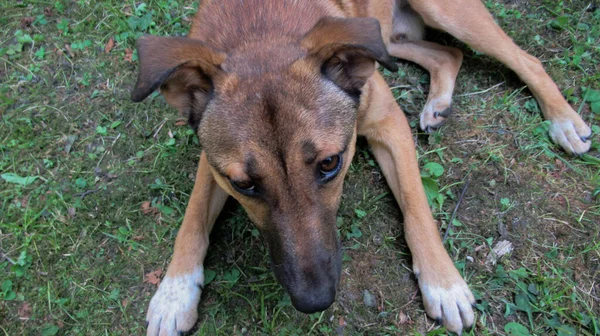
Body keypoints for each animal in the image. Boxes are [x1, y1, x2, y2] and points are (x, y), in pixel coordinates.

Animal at [130, 0, 592, 334]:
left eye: (330, 163)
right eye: (243, 185)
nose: (314, 301)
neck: (262, 35)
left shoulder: (388, 123)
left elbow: (417, 209)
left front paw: (444, 284)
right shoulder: (212, 163)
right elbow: (191, 221)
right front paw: (174, 293)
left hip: (445, 12)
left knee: (524, 59)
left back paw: (564, 120)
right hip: (390, 39)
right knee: (448, 53)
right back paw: (438, 103)